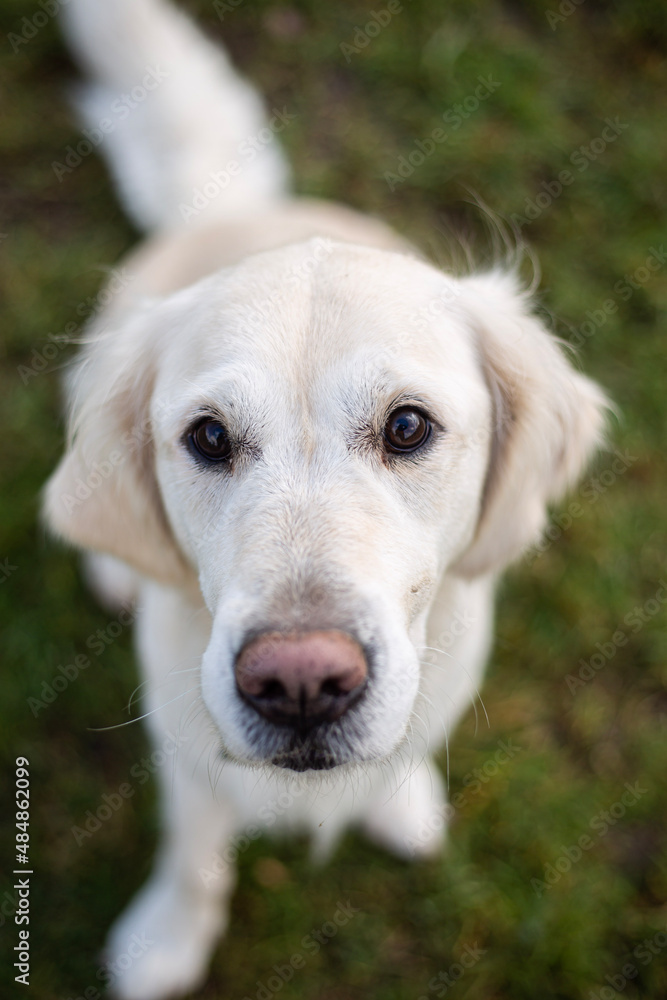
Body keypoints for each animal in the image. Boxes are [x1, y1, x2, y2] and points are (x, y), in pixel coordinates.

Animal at [45, 1, 612, 1000]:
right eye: (208, 438)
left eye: (407, 427)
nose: (300, 685)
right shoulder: (185, 748)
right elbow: (193, 856)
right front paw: (167, 939)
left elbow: (405, 752)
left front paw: (403, 804)